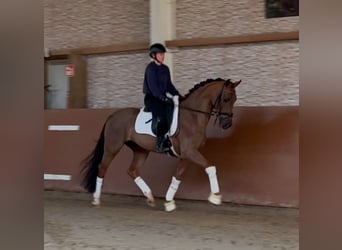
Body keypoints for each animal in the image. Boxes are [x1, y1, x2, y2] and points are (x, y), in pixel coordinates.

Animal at [82, 78, 240, 211]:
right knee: (102, 168)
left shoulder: (186, 155)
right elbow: (211, 168)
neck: (193, 116)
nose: (227, 124)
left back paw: (150, 197)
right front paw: (216, 197)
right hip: (112, 147)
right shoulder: (190, 152)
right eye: (226, 98)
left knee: (132, 171)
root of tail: (112, 116)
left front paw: (169, 202)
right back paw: (96, 200)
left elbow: (177, 176)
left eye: (235, 100)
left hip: (141, 151)